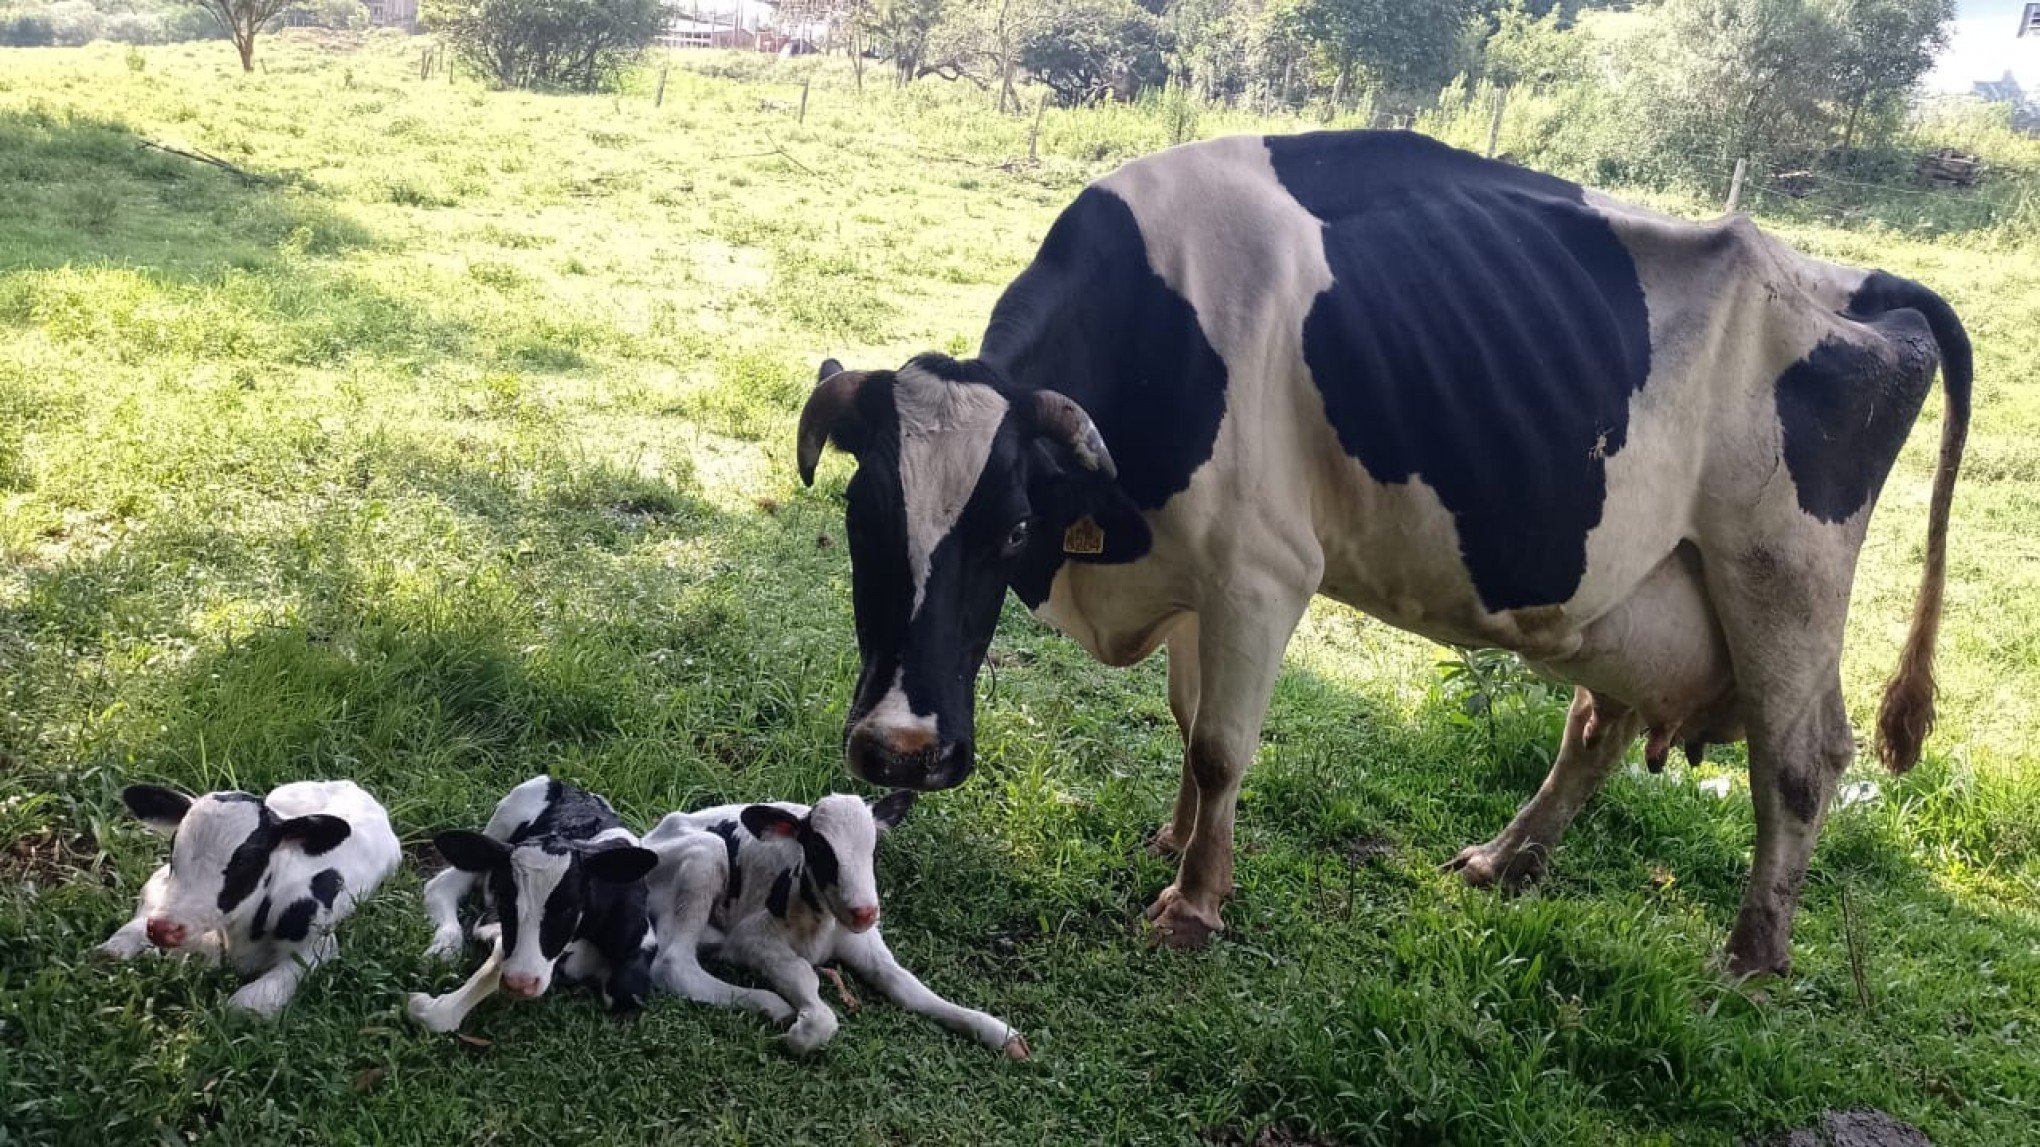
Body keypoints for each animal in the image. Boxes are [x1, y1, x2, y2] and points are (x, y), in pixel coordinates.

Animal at [101, 775, 403, 1008]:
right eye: (174, 850)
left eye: (246, 862)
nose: (164, 928)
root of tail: (350, 785)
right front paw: (119, 947)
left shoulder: (320, 944)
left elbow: (246, 1005)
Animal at [412, 771, 660, 1032]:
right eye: (503, 898)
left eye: (569, 907)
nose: (519, 983)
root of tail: (575, 789)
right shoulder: (493, 921)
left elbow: (627, 992)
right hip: (501, 826)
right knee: (442, 884)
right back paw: (444, 948)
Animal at [644, 783, 1028, 1053]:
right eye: (818, 849)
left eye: (874, 849)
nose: (865, 911)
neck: (820, 925)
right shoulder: (752, 938)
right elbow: (806, 982)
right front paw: (800, 1033)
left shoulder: (865, 943)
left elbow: (907, 986)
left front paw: (997, 1031)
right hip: (705, 855)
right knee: (673, 963)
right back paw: (769, 1003)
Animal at [799, 131, 1974, 971]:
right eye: (863, 520)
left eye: (1009, 528)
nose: (902, 750)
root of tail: (1857, 279)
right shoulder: (1195, 570)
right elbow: (1187, 722)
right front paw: (1176, 845)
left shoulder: (1261, 570)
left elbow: (1221, 745)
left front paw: (1194, 903)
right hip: (1640, 596)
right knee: (1597, 726)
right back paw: (1503, 861)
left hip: (1782, 578)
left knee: (1801, 758)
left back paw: (1752, 956)